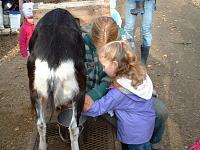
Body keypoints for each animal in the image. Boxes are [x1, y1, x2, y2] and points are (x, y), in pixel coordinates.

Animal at [26, 8, 86, 150]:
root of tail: (52, 59)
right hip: (79, 92)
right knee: (73, 127)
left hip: (35, 91)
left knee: (41, 124)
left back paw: (42, 146)